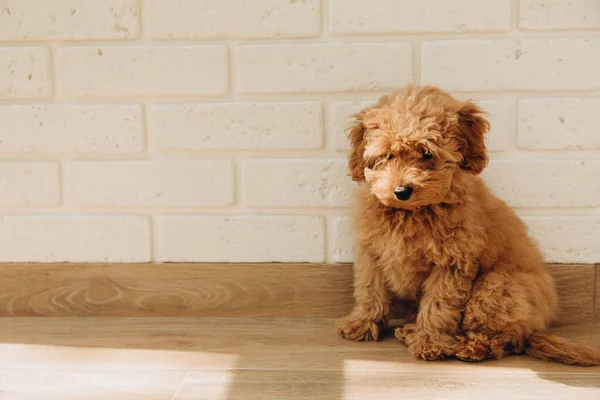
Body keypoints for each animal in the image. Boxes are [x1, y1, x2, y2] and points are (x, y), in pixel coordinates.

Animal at [336, 85, 600, 366]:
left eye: (426, 154)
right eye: (387, 155)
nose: (401, 191)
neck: (411, 212)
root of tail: (535, 329)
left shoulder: (452, 262)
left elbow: (438, 304)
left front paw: (430, 342)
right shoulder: (371, 253)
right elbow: (369, 290)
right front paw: (361, 324)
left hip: (498, 287)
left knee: (504, 336)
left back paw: (470, 347)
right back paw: (411, 330)